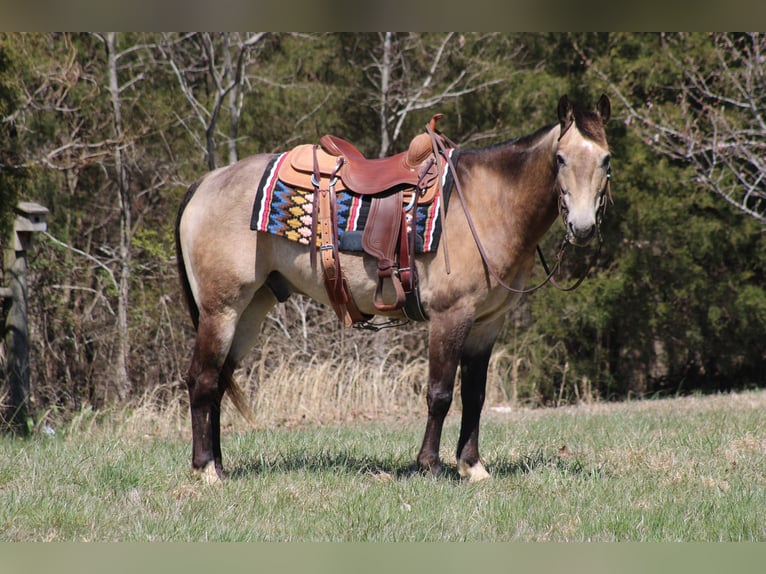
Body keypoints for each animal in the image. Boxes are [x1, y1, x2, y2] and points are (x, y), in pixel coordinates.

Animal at [174, 94, 612, 486]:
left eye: (606, 160)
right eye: (560, 159)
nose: (583, 227)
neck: (488, 203)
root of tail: (207, 181)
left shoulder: (486, 324)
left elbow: (474, 396)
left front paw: (472, 467)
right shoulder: (450, 317)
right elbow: (440, 393)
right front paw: (430, 465)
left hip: (249, 310)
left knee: (219, 381)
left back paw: (219, 466)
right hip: (221, 309)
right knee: (202, 380)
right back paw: (206, 470)